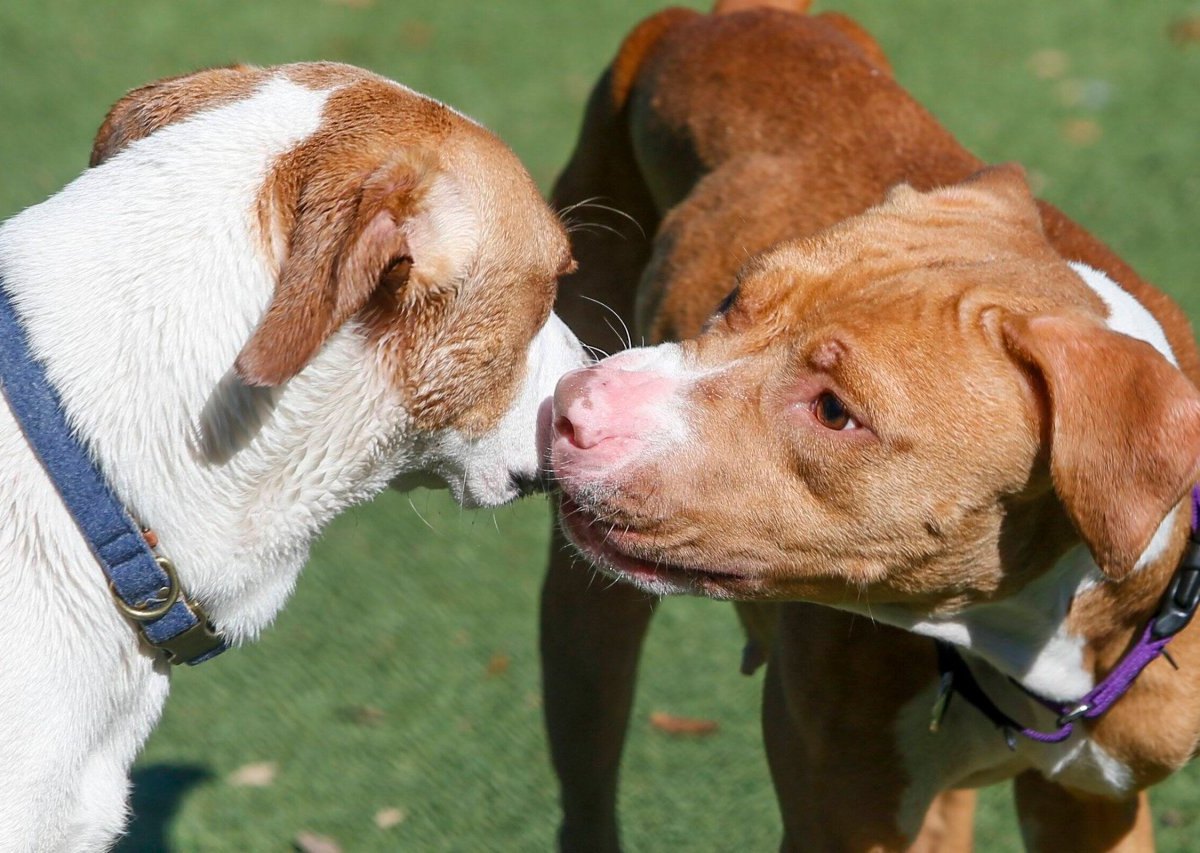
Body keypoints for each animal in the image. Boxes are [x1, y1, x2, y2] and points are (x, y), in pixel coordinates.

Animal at [542, 3, 1200, 849]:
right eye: (731, 300)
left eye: (835, 410)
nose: (574, 402)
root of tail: (734, 16)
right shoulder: (841, 811)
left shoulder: (1091, 803)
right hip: (585, 633)